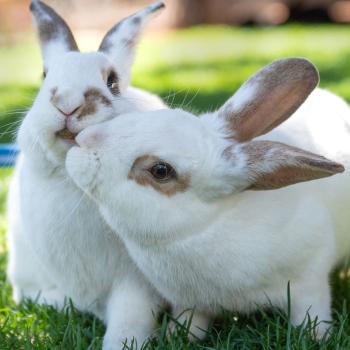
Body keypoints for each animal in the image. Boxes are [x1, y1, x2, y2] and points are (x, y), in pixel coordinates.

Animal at [6, 1, 167, 348]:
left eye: (112, 82)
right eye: (44, 76)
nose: (67, 103)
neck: (75, 182)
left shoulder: (135, 282)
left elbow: (130, 317)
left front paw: (120, 342)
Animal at [65, 58, 348, 340]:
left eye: (161, 170)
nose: (83, 139)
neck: (202, 231)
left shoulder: (309, 283)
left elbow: (311, 311)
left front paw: (317, 336)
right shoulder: (190, 302)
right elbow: (190, 321)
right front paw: (176, 336)